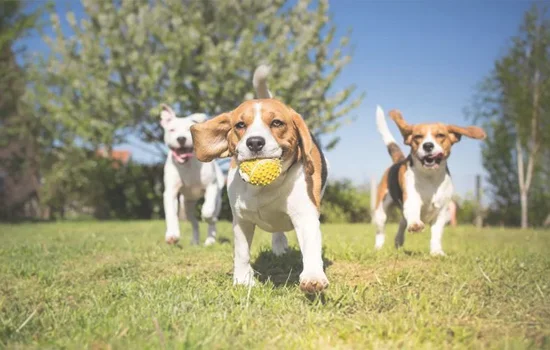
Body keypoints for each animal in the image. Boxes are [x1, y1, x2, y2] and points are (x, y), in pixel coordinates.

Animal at [161, 105, 225, 245]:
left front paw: (208, 217)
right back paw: (195, 242)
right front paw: (172, 235)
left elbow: (207, 211)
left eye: (188, 129)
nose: (181, 138)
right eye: (172, 130)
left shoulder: (211, 187)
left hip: (218, 200)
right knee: (194, 223)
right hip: (187, 205)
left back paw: (210, 240)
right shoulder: (170, 192)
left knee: (212, 217)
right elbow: (171, 214)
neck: (187, 164)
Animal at [190, 65, 330, 292]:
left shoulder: (305, 216)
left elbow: (310, 248)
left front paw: (313, 277)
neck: (264, 188)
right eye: (240, 125)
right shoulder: (241, 220)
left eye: (277, 123)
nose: (255, 142)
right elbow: (241, 253)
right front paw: (243, 280)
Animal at [376, 105, 488, 256]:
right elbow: (413, 213)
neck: (430, 178)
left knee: (402, 223)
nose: (428, 145)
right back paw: (378, 248)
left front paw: (436, 252)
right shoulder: (412, 200)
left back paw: (399, 241)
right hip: (381, 212)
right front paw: (416, 225)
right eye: (418, 137)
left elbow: (436, 234)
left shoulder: (441, 212)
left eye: (440, 135)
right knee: (381, 231)